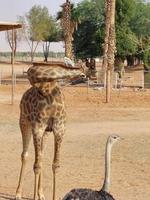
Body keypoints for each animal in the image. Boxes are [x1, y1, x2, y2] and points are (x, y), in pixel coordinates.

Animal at [15, 64, 84, 200]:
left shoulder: (59, 129)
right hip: (24, 122)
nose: (83, 75)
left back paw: (41, 193)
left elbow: (55, 165)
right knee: (25, 155)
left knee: (41, 156)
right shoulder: (37, 127)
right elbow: (36, 166)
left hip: (45, 132)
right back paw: (18, 193)